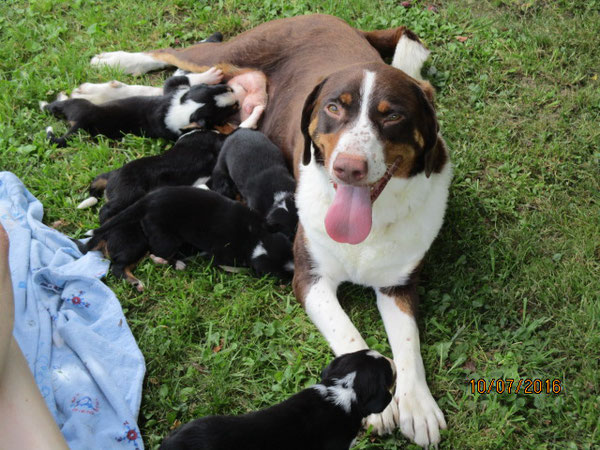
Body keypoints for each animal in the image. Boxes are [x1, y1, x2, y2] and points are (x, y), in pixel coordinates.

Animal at [42, 74, 237, 146]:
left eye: (226, 88)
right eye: (231, 110)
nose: (235, 95)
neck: (182, 108)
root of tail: (79, 125)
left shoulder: (171, 88)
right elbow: (188, 77)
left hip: (74, 107)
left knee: (54, 107)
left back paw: (47, 103)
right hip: (81, 105)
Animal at [81, 186, 292, 292]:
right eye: (278, 274)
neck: (256, 238)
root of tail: (147, 201)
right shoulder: (221, 255)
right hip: (165, 238)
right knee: (152, 255)